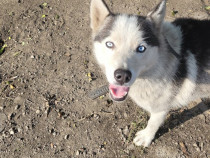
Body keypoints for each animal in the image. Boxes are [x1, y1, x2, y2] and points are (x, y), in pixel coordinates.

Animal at [89, 0, 209, 147]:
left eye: (141, 48)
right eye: (110, 44)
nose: (122, 76)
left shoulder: (161, 108)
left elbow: (153, 123)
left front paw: (146, 137)